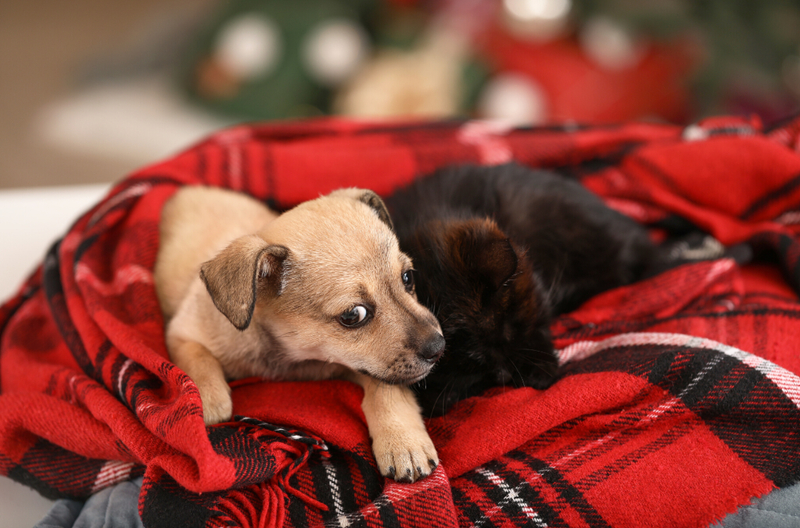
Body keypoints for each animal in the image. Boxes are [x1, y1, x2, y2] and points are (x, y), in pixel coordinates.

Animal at [155, 186, 444, 482]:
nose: (439, 347)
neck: (293, 358)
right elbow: (198, 359)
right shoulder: (182, 331)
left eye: (408, 278)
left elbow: (385, 386)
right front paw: (209, 401)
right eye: (353, 315)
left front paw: (403, 441)